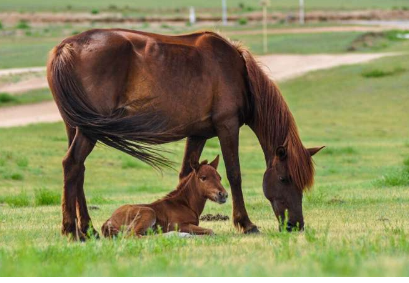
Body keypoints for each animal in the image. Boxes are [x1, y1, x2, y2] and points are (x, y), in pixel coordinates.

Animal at [47, 28, 322, 240]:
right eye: (284, 179)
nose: (296, 225)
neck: (238, 73)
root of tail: (65, 47)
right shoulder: (227, 126)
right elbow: (234, 174)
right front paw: (246, 223)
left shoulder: (198, 134)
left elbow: (186, 173)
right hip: (88, 130)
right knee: (71, 165)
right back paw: (71, 230)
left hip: (76, 127)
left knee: (78, 172)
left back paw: (88, 229)